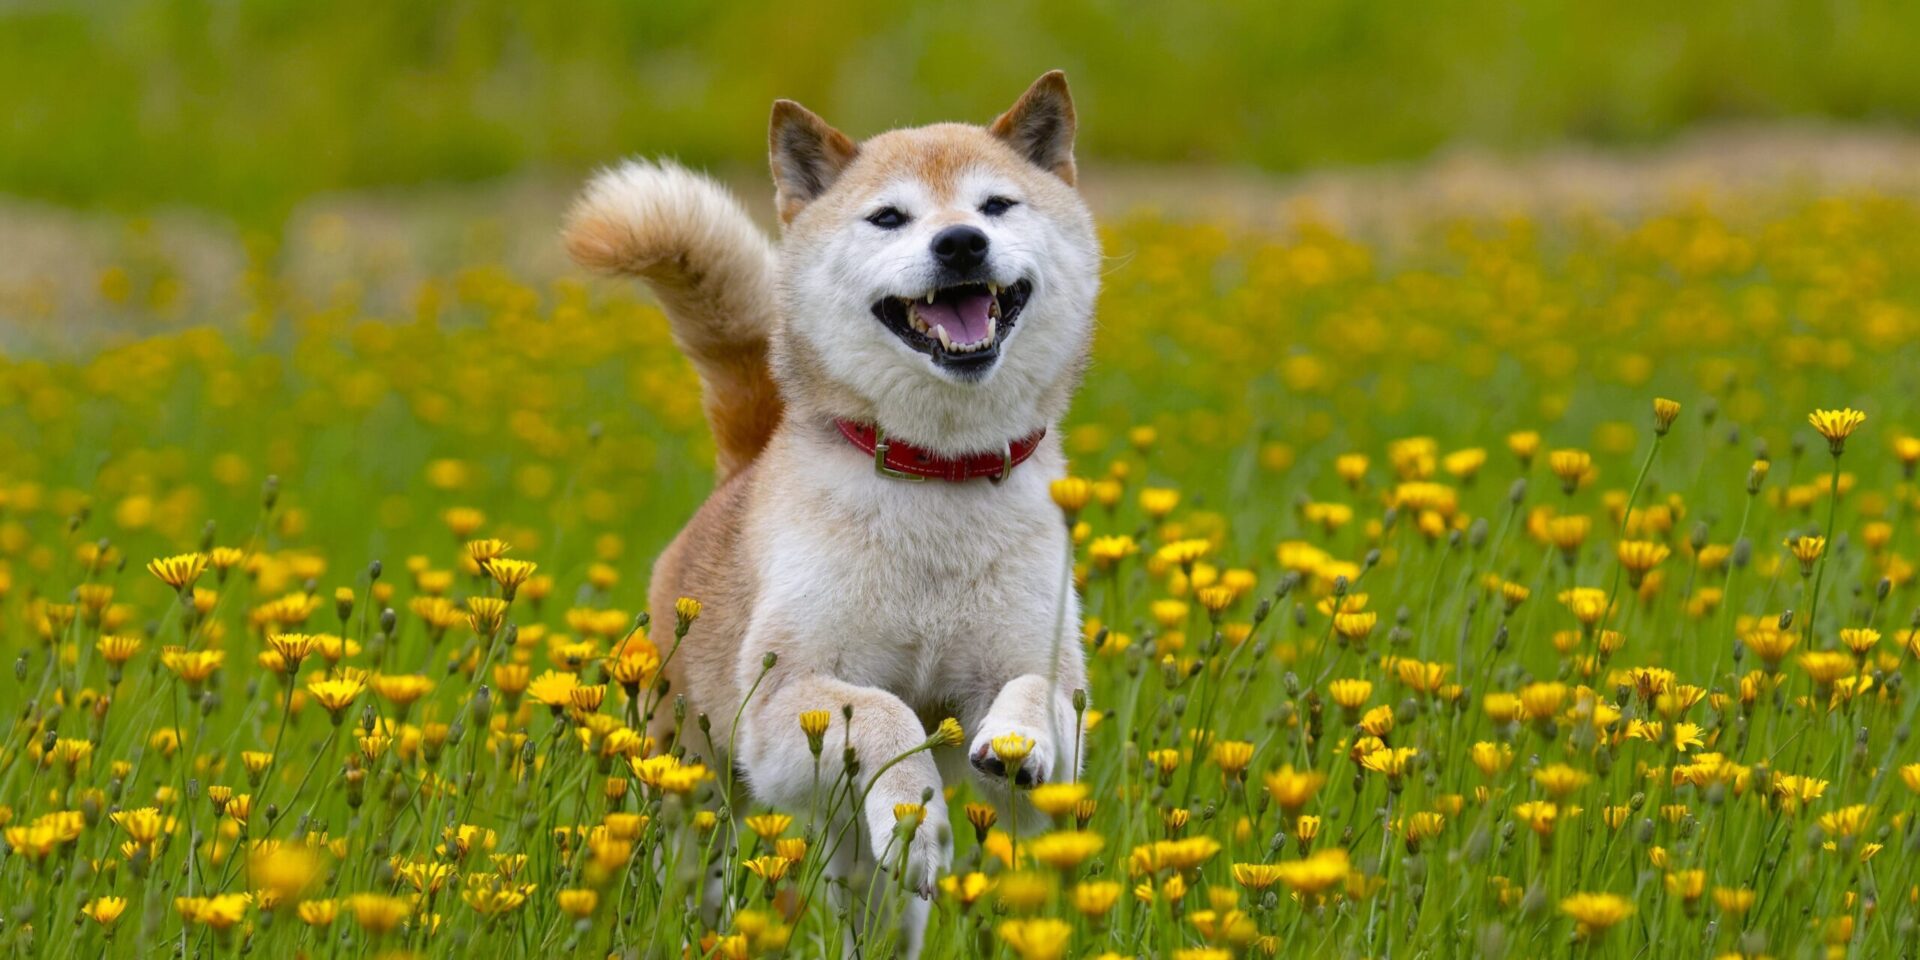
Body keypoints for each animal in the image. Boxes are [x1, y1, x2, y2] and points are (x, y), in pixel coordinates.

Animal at [560, 69, 1098, 952]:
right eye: (889, 217)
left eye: (996, 206)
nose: (960, 244)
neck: (936, 477)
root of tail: (738, 472)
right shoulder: (786, 706)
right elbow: (884, 711)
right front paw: (917, 806)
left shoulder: (1045, 723)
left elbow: (1031, 693)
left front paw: (1012, 743)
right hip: (693, 783)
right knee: (692, 871)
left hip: (860, 866)